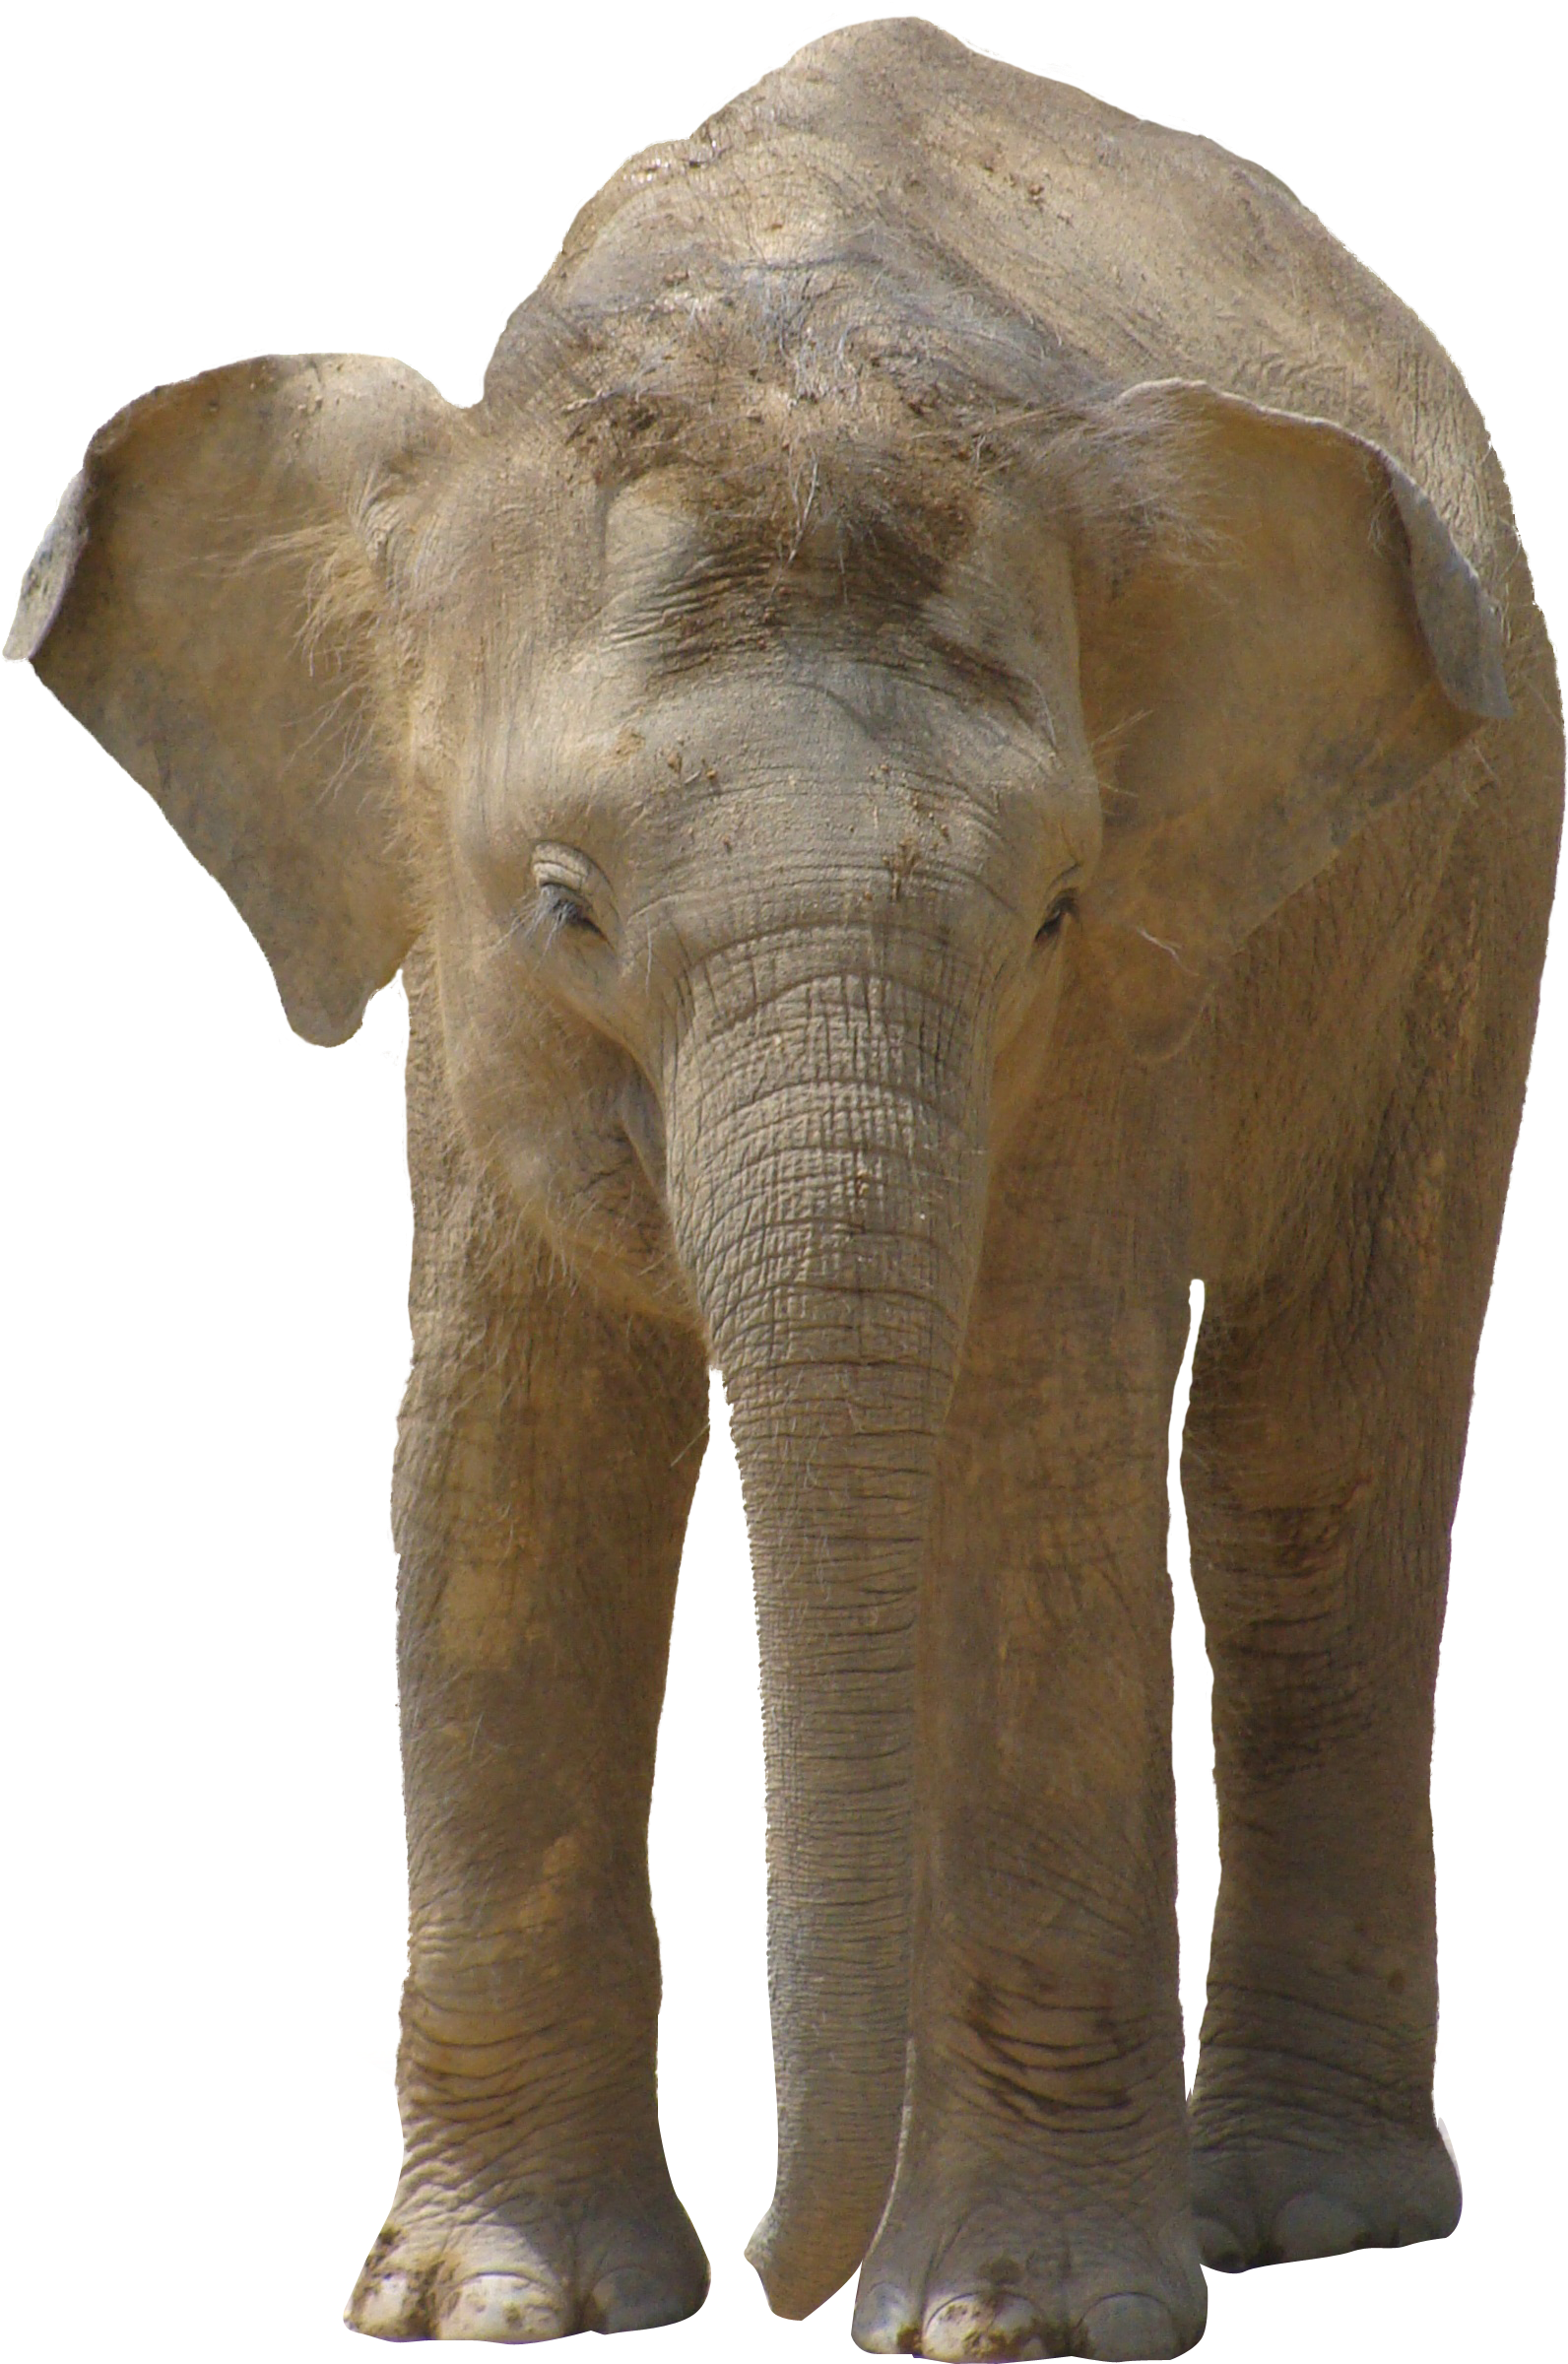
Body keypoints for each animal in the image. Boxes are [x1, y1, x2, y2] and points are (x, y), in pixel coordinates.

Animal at [6, 16, 1561, 2359]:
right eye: (561, 902)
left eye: (1053, 910)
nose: (776, 2270)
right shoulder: (467, 1002)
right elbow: (503, 1456)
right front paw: (494, 2314)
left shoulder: (1126, 1002)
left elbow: (1032, 1439)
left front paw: (1013, 2327)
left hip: (1477, 851)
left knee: (1312, 1460)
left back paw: (1290, 2216)